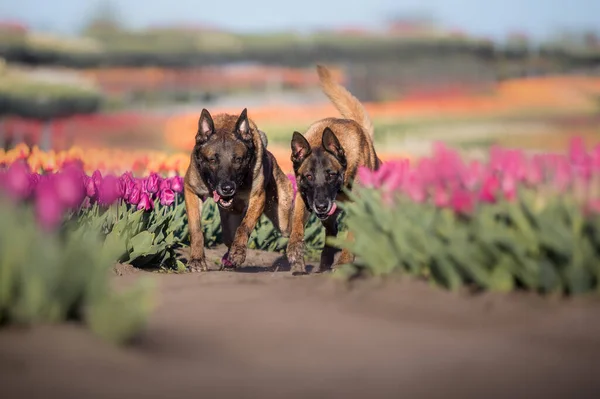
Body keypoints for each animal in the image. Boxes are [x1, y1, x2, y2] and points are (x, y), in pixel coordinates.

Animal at [184, 108, 294, 272]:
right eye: (212, 160)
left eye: (238, 159)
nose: (227, 188)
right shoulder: (191, 190)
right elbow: (196, 228)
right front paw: (197, 260)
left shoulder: (258, 197)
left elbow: (244, 226)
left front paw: (237, 253)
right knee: (229, 238)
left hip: (282, 219)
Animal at [286, 65, 380, 276]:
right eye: (308, 176)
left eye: (331, 174)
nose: (321, 206)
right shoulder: (304, 199)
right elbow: (297, 223)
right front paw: (295, 250)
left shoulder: (357, 206)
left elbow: (352, 236)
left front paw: (344, 263)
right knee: (331, 233)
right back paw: (325, 260)